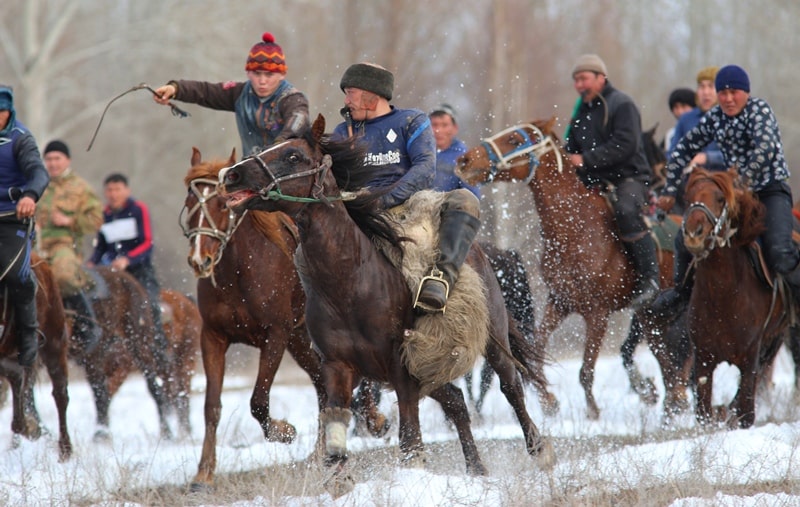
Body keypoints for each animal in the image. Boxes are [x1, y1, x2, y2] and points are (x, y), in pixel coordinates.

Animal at [183, 150, 392, 492]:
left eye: (222, 205)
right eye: (190, 203)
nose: (200, 260)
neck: (238, 271)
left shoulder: (276, 334)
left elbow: (258, 399)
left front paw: (284, 431)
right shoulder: (213, 336)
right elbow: (211, 406)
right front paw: (203, 474)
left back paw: (372, 420)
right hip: (302, 341)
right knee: (323, 389)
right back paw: (320, 453)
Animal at [217, 115, 556, 484]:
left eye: (293, 156)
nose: (232, 175)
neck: (350, 282)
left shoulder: (402, 366)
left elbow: (410, 439)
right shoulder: (338, 366)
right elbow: (337, 432)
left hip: (492, 339)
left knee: (512, 388)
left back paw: (540, 451)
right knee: (455, 400)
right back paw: (476, 468)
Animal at [454, 119, 684, 420]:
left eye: (515, 139)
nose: (465, 160)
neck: (574, 227)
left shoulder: (597, 314)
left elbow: (586, 370)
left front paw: (593, 411)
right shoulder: (559, 303)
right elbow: (536, 351)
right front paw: (549, 401)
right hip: (649, 314)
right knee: (663, 354)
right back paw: (669, 400)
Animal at [680, 168, 788, 428]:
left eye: (720, 198)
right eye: (687, 198)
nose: (694, 235)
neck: (723, 297)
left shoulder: (750, 356)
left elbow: (746, 411)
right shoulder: (703, 358)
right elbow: (704, 413)